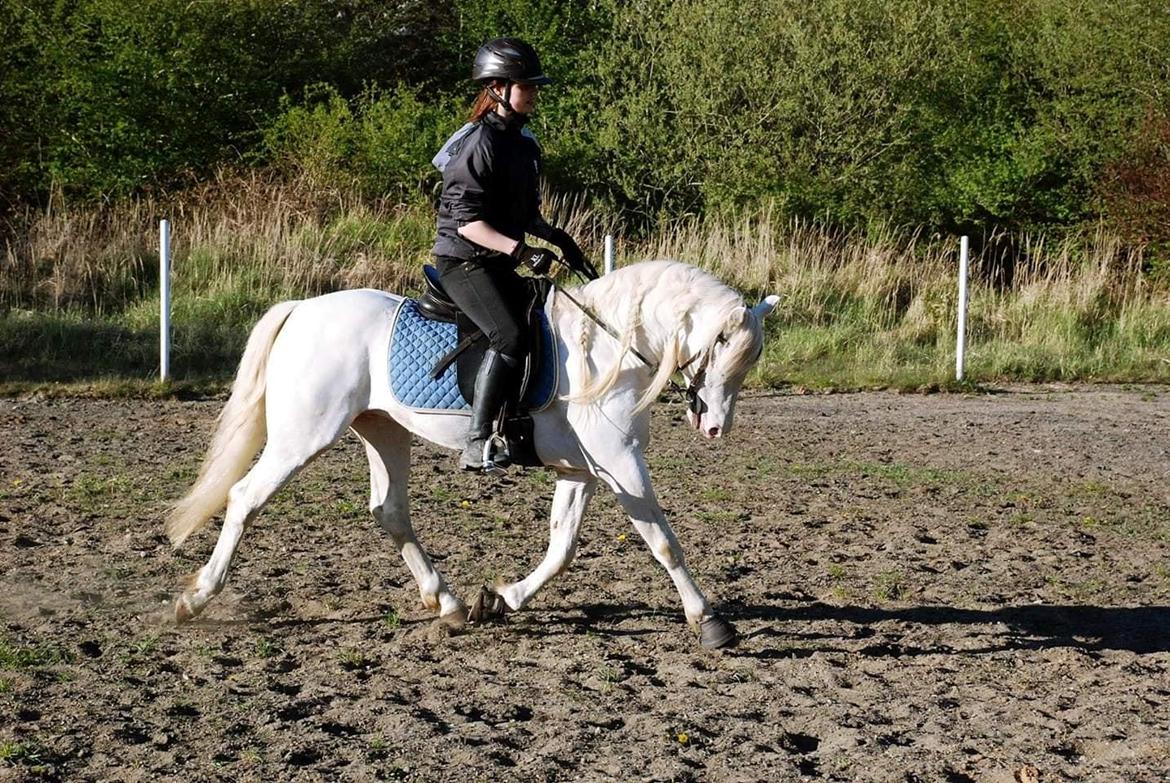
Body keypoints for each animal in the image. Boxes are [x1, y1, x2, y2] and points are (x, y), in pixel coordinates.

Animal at [164, 259, 776, 646]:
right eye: (722, 347)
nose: (714, 427)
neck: (607, 348)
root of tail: (302, 309)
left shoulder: (586, 470)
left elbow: (563, 547)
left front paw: (504, 599)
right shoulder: (622, 464)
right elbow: (663, 541)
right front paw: (710, 622)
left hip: (383, 430)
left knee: (390, 511)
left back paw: (450, 605)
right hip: (304, 435)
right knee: (245, 497)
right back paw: (196, 599)